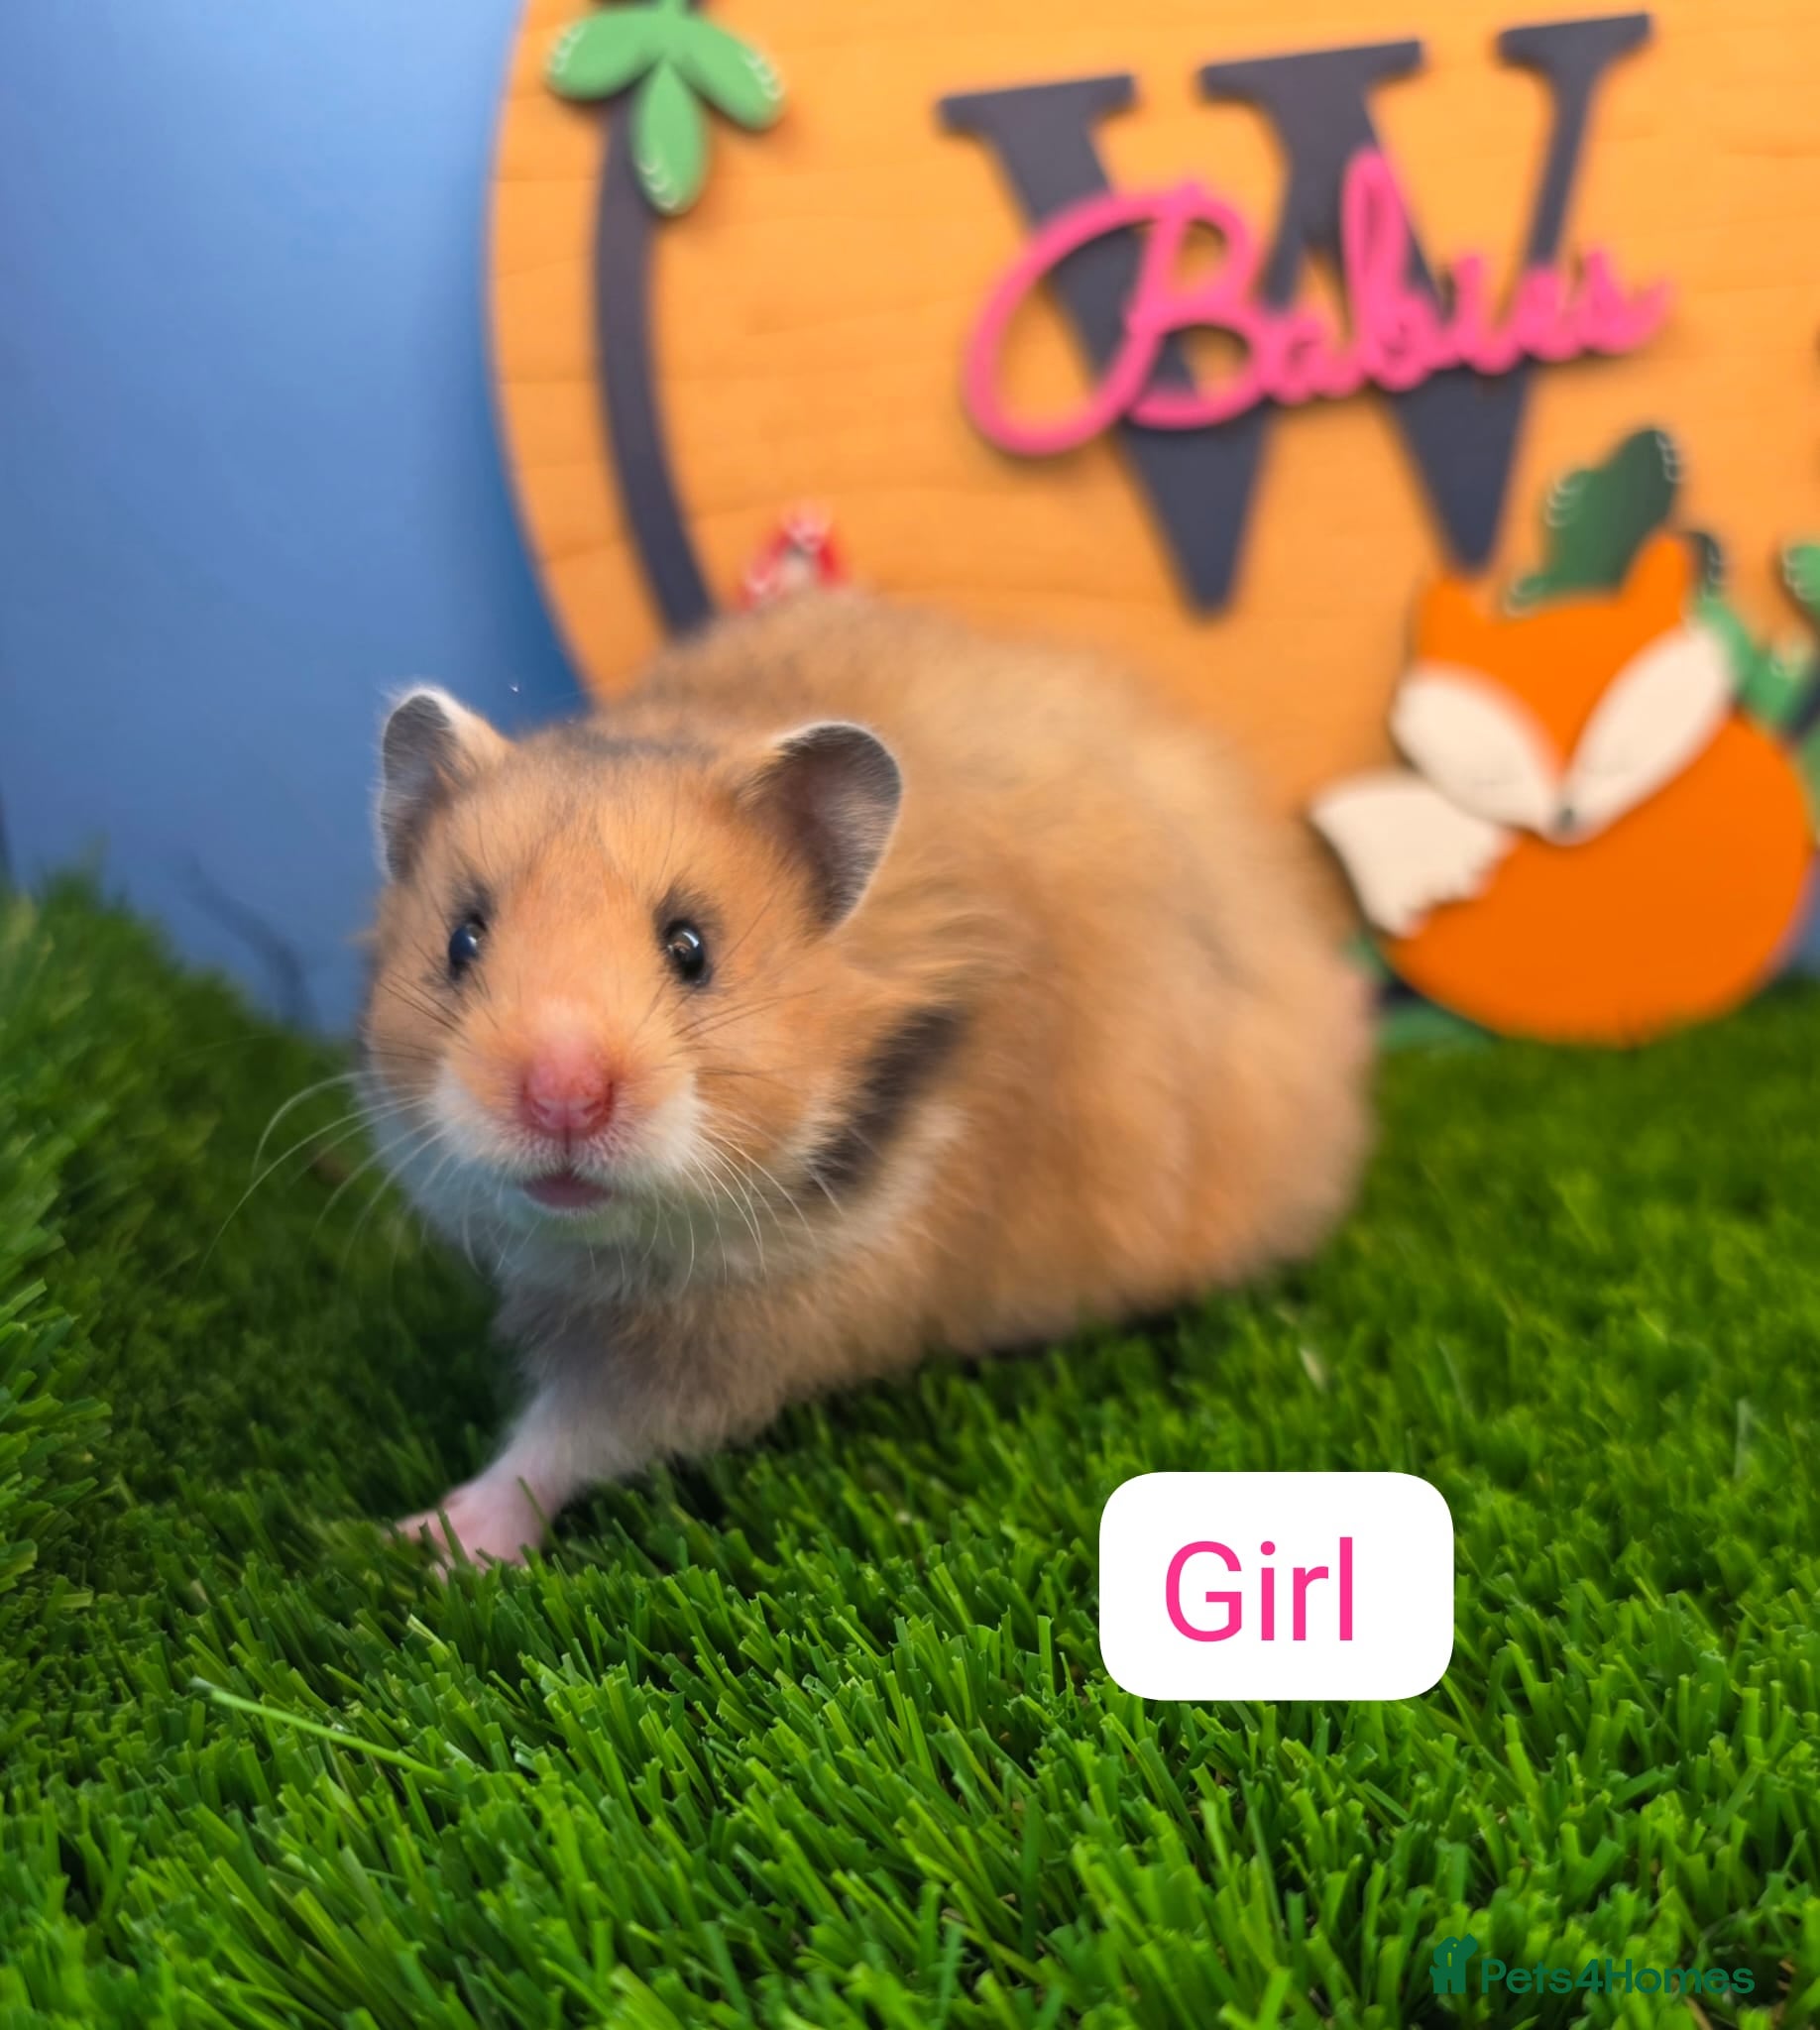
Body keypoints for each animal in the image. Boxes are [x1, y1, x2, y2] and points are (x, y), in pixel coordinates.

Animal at [363, 592, 1372, 1564]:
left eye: (690, 949)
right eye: (463, 940)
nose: (561, 1097)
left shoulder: (755, 1327)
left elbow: (570, 1435)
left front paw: (426, 1545)